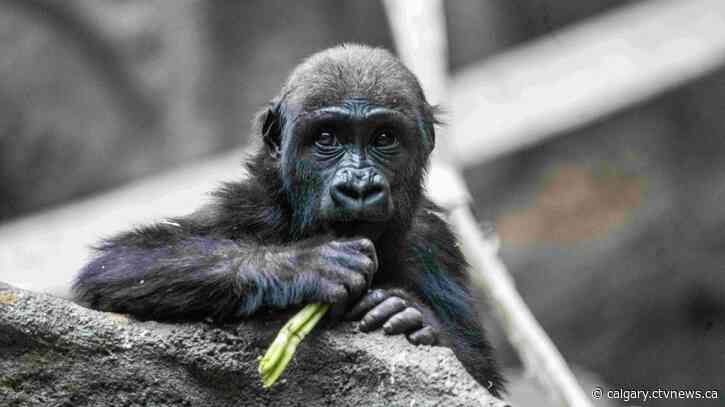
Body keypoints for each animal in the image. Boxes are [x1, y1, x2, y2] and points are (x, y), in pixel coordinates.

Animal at [73, 44, 504, 395]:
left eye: (384, 138)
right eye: (327, 137)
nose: (359, 187)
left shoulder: (433, 239)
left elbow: (481, 369)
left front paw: (411, 315)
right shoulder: (246, 204)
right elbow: (121, 264)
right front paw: (307, 265)